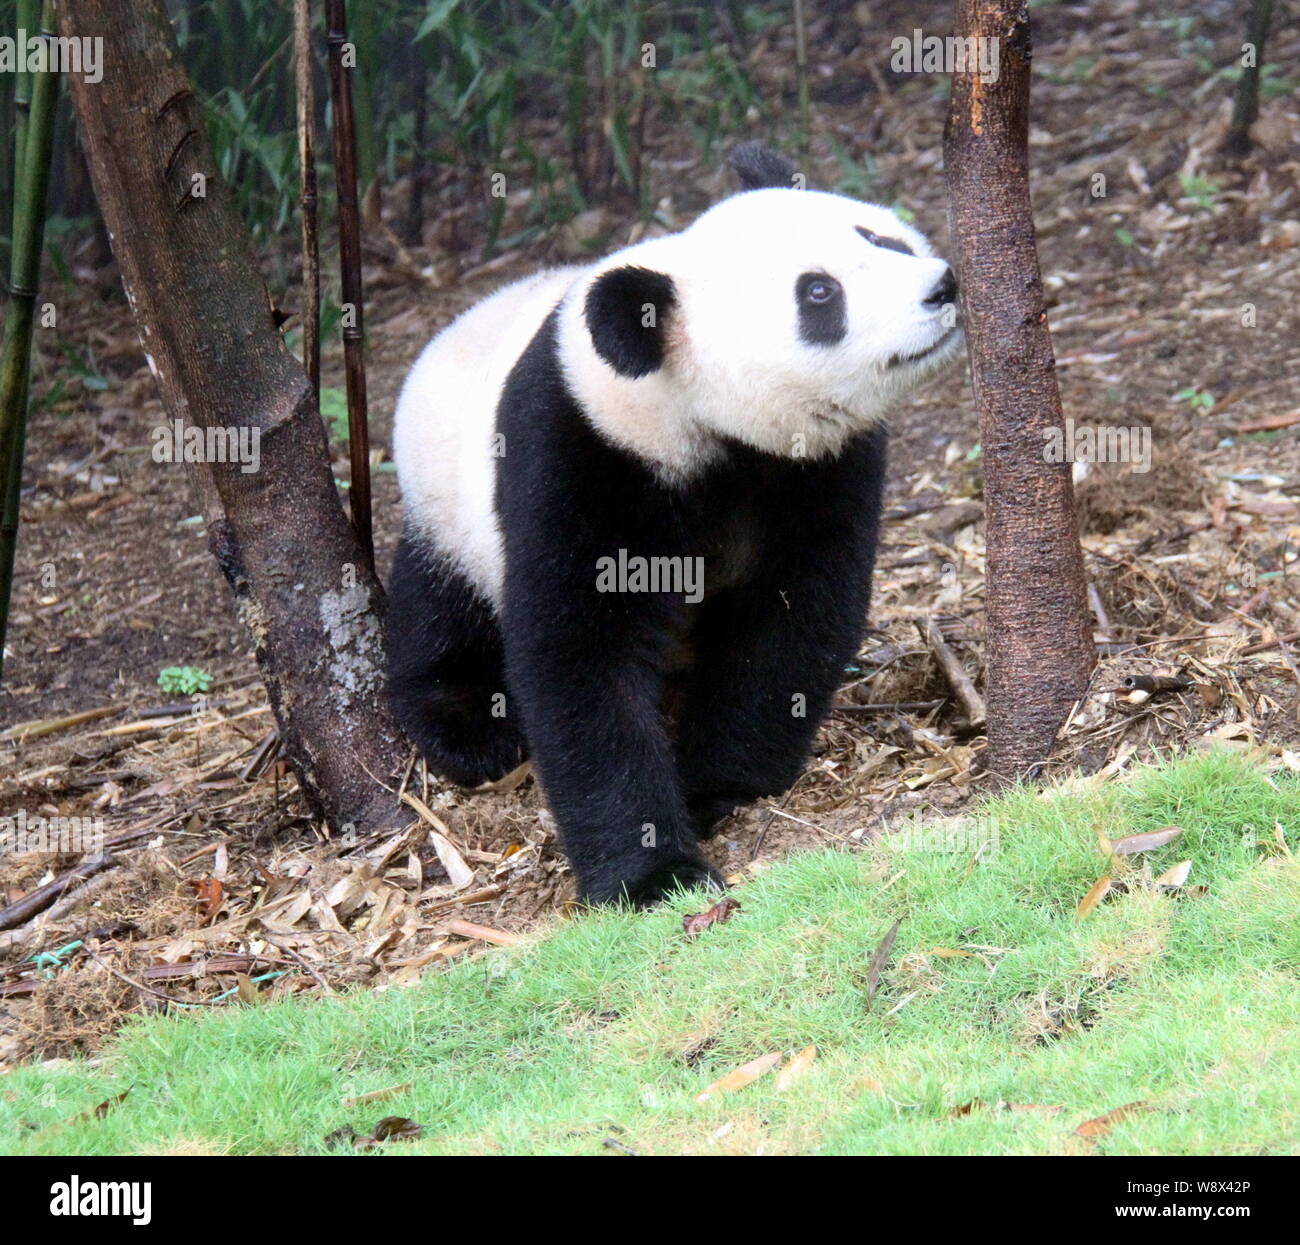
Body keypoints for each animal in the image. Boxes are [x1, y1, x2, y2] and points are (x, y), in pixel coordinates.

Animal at [384, 143, 967, 904]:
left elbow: (792, 610)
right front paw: (655, 872)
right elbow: (580, 656)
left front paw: (715, 783)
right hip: (443, 502)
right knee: (437, 607)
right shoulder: (579, 447)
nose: (941, 286)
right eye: (818, 294)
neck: (687, 415)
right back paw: (468, 725)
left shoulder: (819, 467)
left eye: (880, 238)